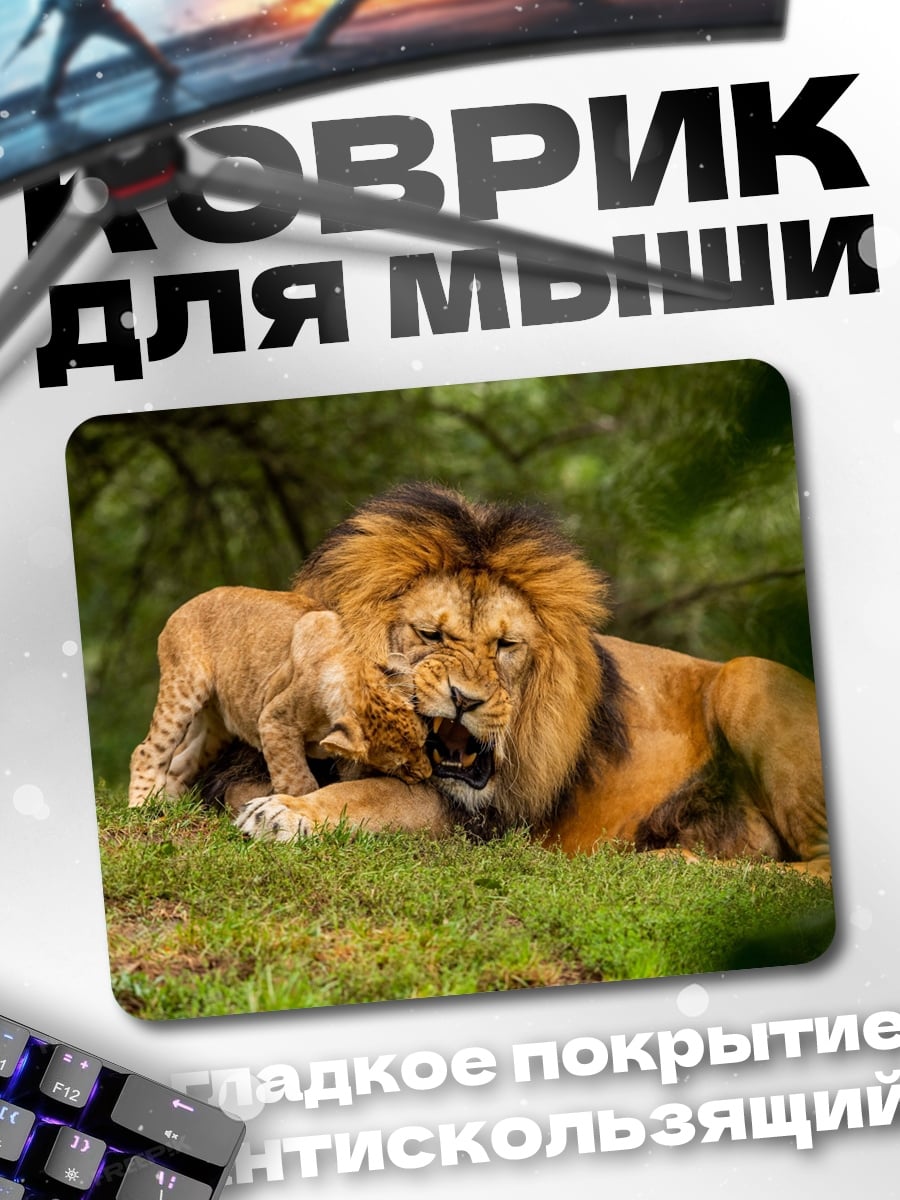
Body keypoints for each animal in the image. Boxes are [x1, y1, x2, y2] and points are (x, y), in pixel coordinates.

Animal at [128, 586, 432, 811]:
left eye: (423, 743)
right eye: (400, 765)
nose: (426, 775)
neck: (355, 676)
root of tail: (185, 605)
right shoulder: (274, 721)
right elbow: (298, 780)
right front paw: (293, 810)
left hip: (218, 727)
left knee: (181, 764)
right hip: (184, 687)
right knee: (148, 750)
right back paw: (142, 806)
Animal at [221, 484, 830, 882]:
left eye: (505, 646)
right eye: (430, 634)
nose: (465, 700)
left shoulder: (474, 821)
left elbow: (369, 795)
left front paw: (285, 814)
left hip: (748, 674)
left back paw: (672, 861)